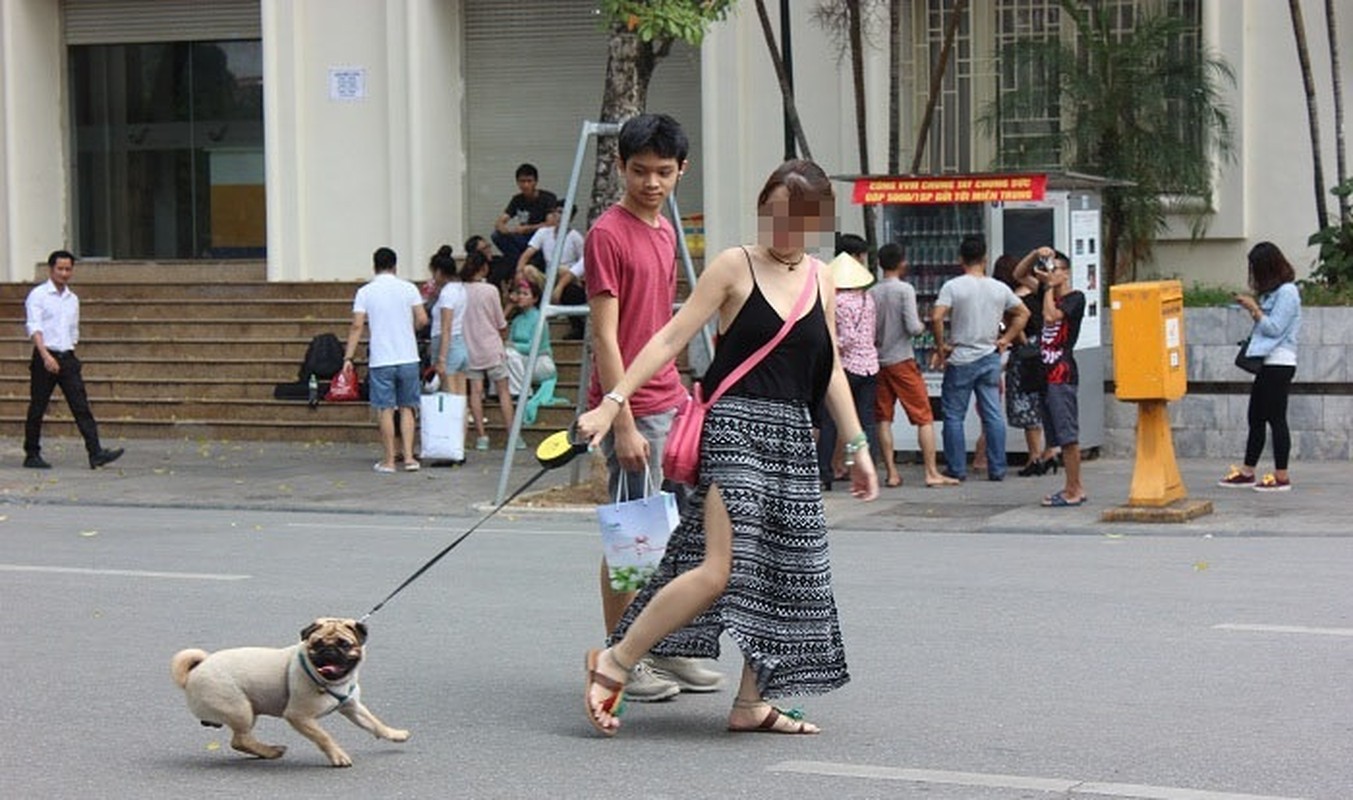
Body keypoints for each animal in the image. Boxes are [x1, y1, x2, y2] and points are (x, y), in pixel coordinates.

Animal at [167, 617, 405, 768]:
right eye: (316, 644)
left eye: (344, 644)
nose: (328, 650)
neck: (333, 682)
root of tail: (193, 673)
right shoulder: (299, 717)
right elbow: (324, 737)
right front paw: (338, 756)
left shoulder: (353, 708)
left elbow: (375, 723)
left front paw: (395, 734)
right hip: (240, 709)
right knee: (240, 740)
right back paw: (271, 751)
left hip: (245, 711)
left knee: (240, 740)